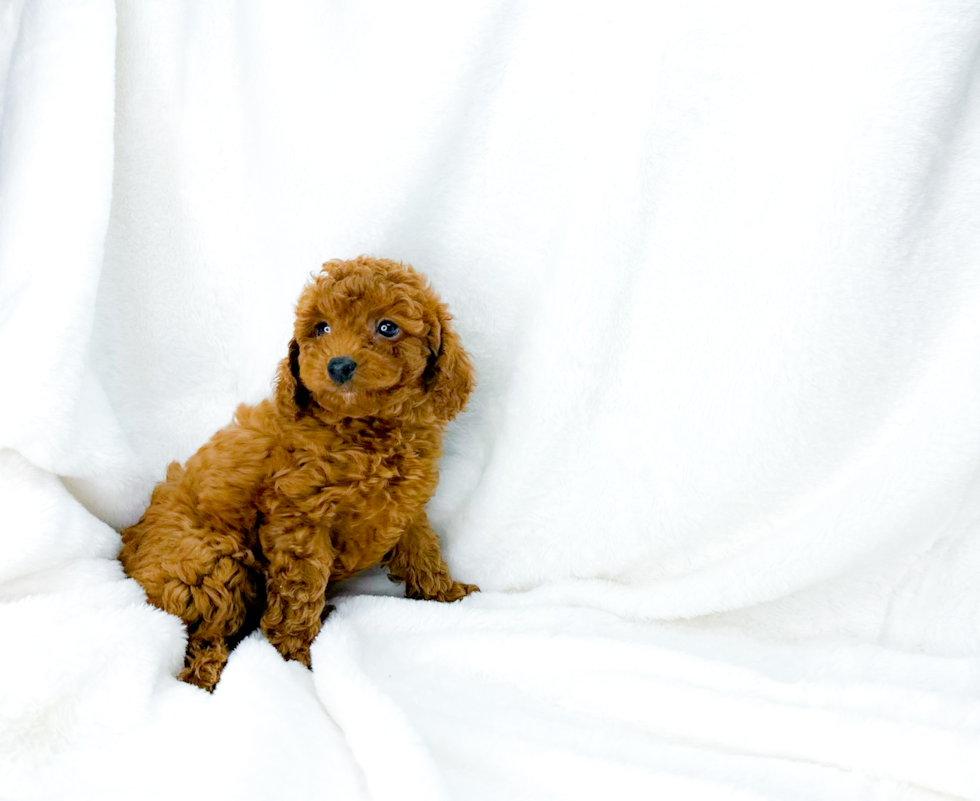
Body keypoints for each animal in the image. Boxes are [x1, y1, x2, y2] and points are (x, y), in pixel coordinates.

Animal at [120, 255, 480, 688]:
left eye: (387, 327)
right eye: (321, 328)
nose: (338, 365)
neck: (365, 431)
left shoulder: (405, 506)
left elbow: (422, 550)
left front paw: (447, 594)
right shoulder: (299, 521)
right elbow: (300, 593)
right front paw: (294, 656)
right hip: (211, 564)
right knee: (204, 634)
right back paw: (206, 673)